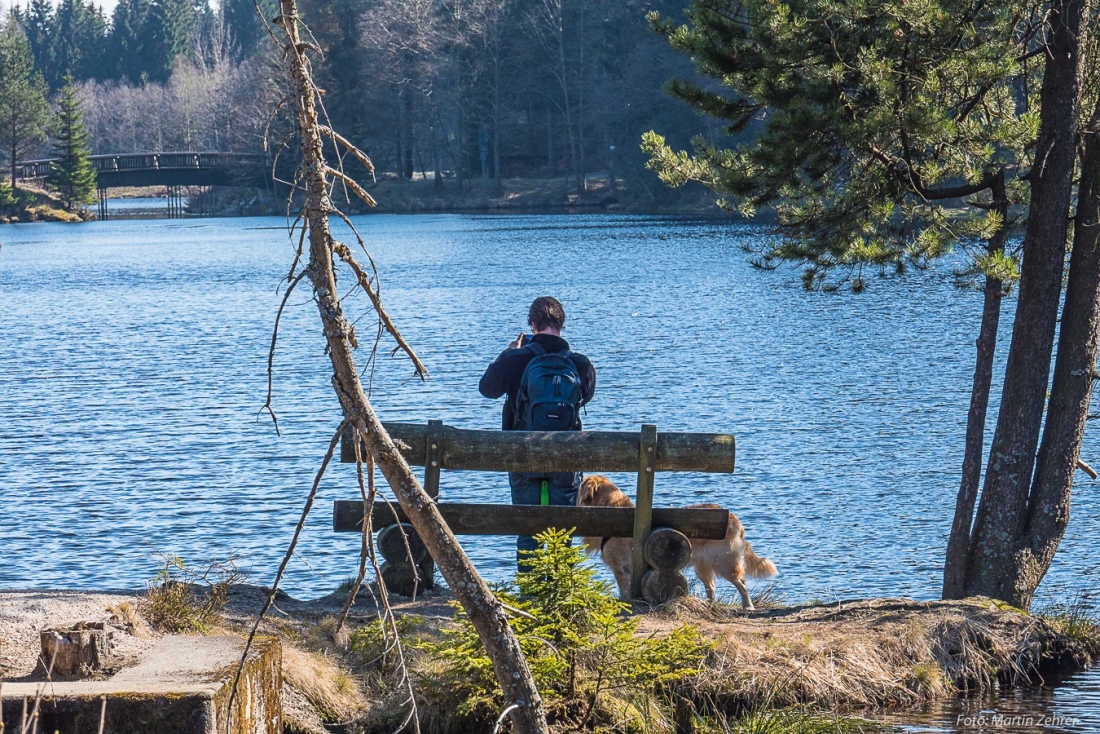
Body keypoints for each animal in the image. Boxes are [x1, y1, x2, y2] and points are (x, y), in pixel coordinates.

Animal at [580, 477, 778, 607]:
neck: (613, 511)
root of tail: (734, 518)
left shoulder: (621, 569)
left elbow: (624, 590)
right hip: (703, 566)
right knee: (711, 587)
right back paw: (708, 605)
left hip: (725, 562)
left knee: (742, 584)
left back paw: (748, 606)